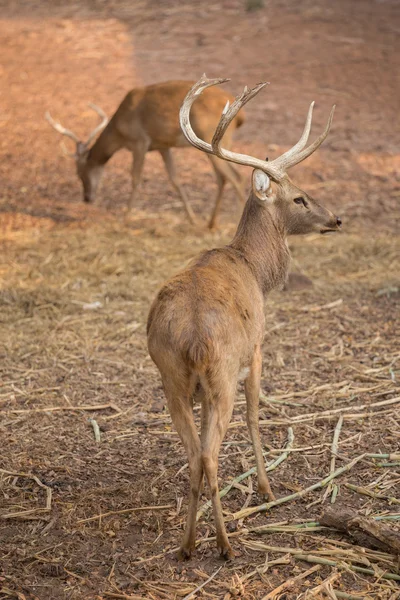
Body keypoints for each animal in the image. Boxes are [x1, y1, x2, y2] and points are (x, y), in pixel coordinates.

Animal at [46, 81, 247, 229]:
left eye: (79, 173)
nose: (87, 198)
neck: (120, 129)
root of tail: (240, 116)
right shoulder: (162, 146)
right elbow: (174, 179)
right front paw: (192, 219)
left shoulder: (139, 142)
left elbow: (136, 177)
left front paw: (125, 218)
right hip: (219, 145)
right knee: (223, 177)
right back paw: (211, 223)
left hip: (212, 139)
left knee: (236, 177)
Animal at [148, 76, 342, 564]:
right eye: (299, 196)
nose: (336, 218)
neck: (253, 266)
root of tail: (195, 338)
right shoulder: (256, 346)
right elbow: (257, 414)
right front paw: (268, 488)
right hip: (222, 372)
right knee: (210, 454)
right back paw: (223, 545)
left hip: (171, 377)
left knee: (196, 455)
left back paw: (187, 545)